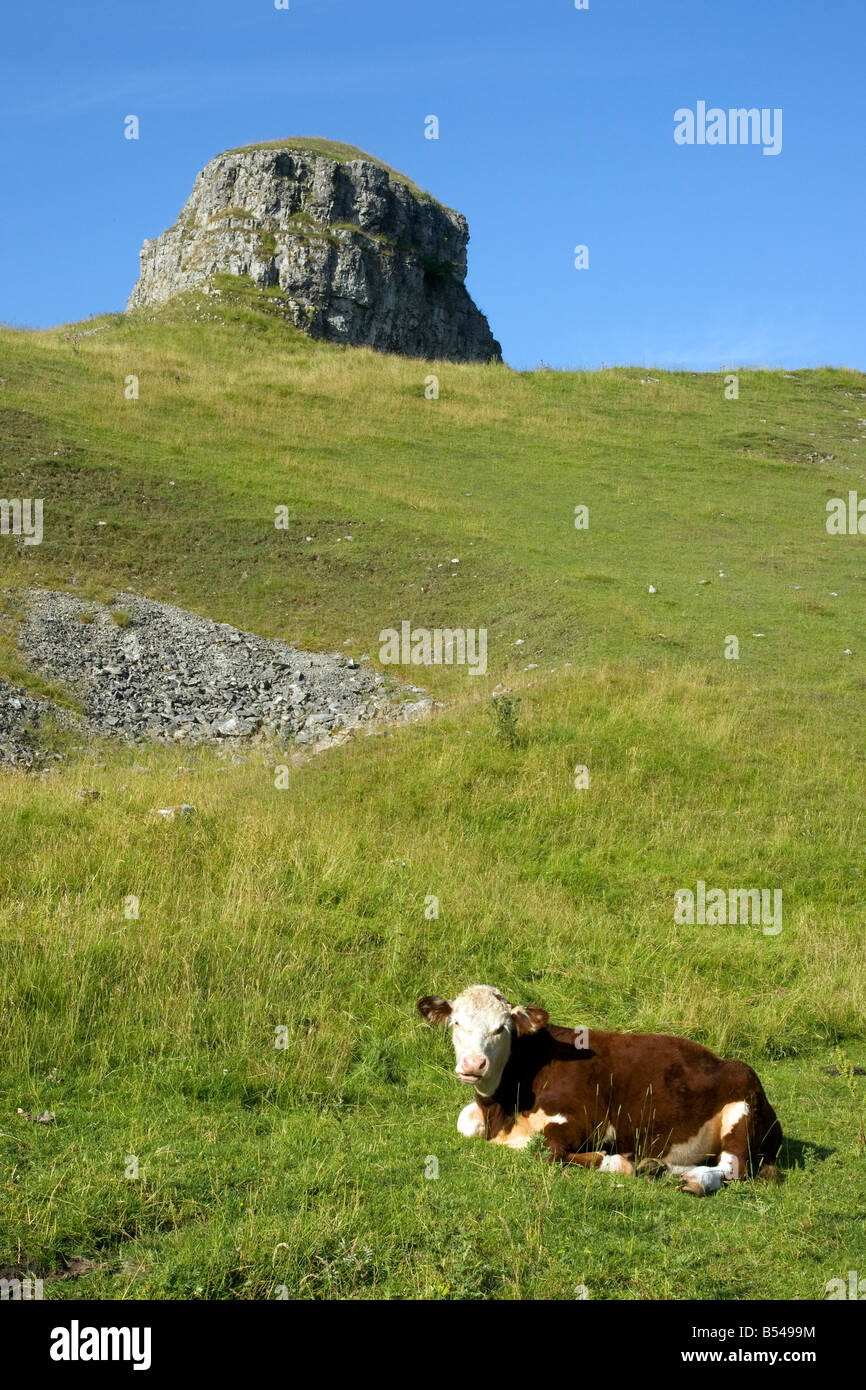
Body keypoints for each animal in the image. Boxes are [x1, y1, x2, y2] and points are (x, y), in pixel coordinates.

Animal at [417, 978, 783, 1195]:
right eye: (457, 1023)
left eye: (501, 1028)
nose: (473, 1065)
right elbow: (466, 1122)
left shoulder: (581, 1119)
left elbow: (545, 1150)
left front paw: (619, 1162)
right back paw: (659, 1167)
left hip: (742, 1105)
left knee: (734, 1167)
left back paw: (696, 1180)